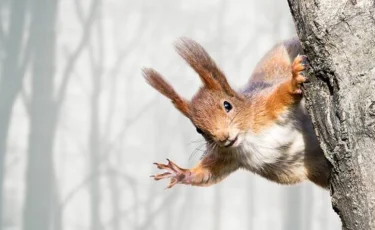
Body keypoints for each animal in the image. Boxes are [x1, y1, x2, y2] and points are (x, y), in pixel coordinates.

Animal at [143, 37, 332, 189]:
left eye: (227, 105)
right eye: (198, 129)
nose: (224, 138)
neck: (247, 138)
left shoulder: (265, 107)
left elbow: (282, 95)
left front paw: (294, 80)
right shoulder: (226, 156)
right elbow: (207, 173)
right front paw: (180, 173)